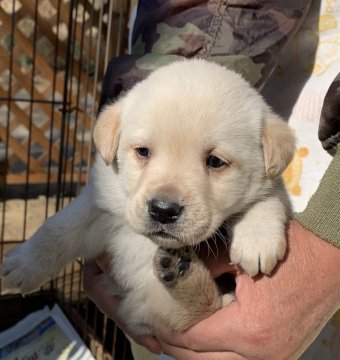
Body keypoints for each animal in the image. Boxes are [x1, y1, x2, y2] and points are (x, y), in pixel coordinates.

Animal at [0, 58, 294, 334]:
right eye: (143, 151)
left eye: (215, 161)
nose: (163, 210)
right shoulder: (100, 199)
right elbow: (58, 229)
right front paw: (21, 264)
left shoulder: (271, 184)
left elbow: (268, 198)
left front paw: (257, 240)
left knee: (196, 312)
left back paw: (184, 277)